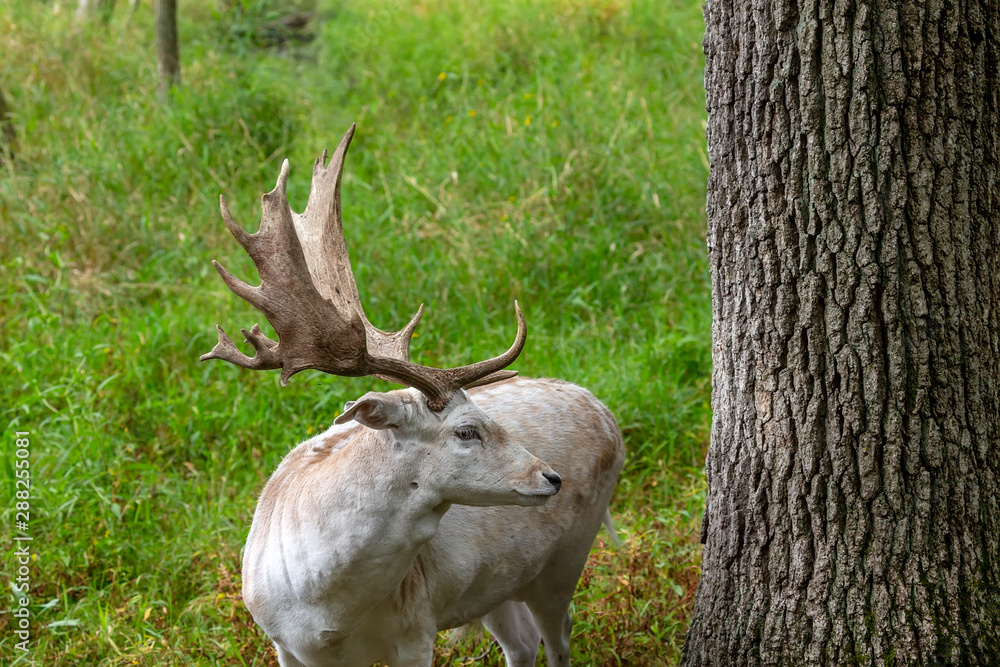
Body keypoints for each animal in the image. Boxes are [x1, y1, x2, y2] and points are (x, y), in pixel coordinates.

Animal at [201, 126, 624, 667]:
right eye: (466, 430)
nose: (550, 477)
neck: (325, 616)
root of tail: (606, 414)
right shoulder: (283, 645)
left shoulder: (416, 630)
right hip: (493, 585)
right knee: (523, 640)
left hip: (566, 560)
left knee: (559, 633)